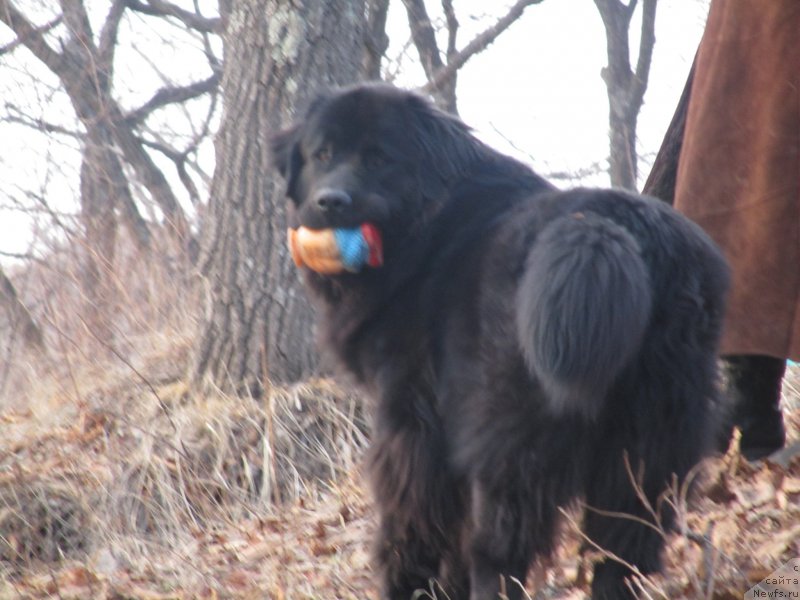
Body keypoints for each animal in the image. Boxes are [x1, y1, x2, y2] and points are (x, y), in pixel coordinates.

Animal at [270, 83, 732, 600]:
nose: (331, 201)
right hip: (653, 434)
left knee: (501, 546)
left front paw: (407, 583)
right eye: (322, 154)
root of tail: (608, 228)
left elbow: (412, 515)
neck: (424, 222)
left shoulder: (411, 419)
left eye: (379, 158)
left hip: (511, 434)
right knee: (625, 543)